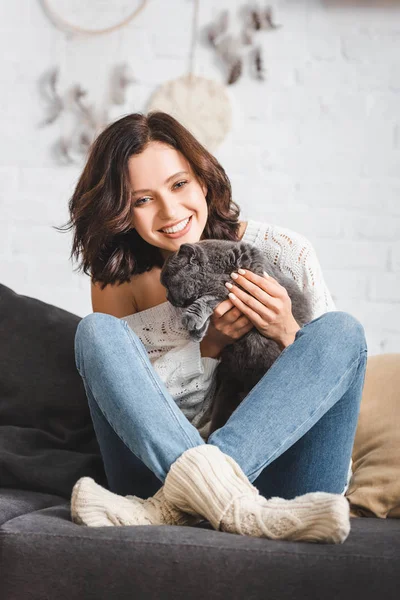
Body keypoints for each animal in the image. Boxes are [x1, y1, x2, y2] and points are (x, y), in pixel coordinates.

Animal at [161, 239, 314, 436]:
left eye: (167, 283)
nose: (167, 297)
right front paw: (197, 331)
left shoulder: (245, 287)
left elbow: (211, 298)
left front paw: (192, 318)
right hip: (227, 393)